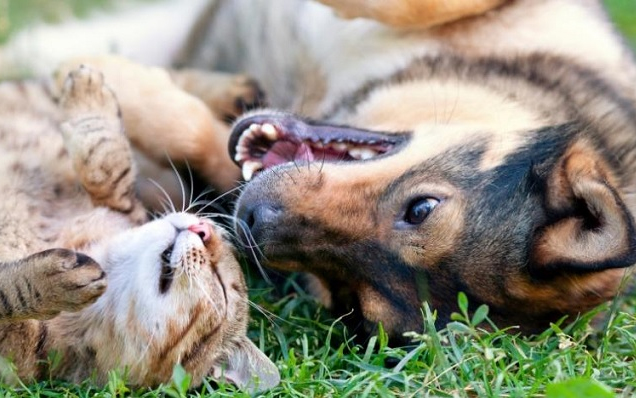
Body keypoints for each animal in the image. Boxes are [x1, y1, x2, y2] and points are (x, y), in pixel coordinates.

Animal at [0, 65, 280, 392]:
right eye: (218, 233)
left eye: (222, 286)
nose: (203, 228)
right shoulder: (118, 202)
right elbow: (108, 164)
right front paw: (89, 94)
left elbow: (7, 294)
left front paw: (52, 282)